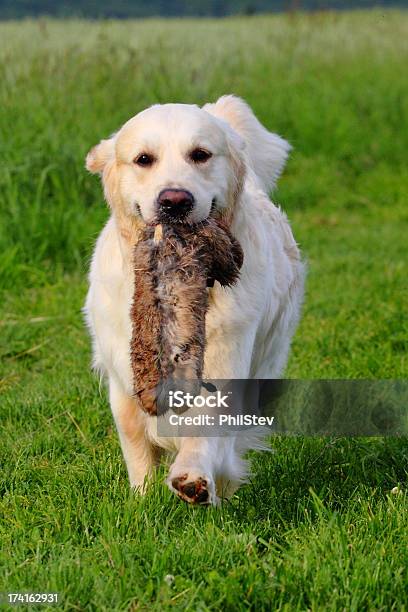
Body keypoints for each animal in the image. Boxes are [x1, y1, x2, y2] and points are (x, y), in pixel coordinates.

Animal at [84, 95, 304, 504]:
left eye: (200, 154)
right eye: (143, 159)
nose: (175, 201)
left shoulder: (225, 359)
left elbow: (206, 428)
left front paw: (193, 477)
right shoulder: (124, 379)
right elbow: (135, 440)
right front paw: (142, 498)